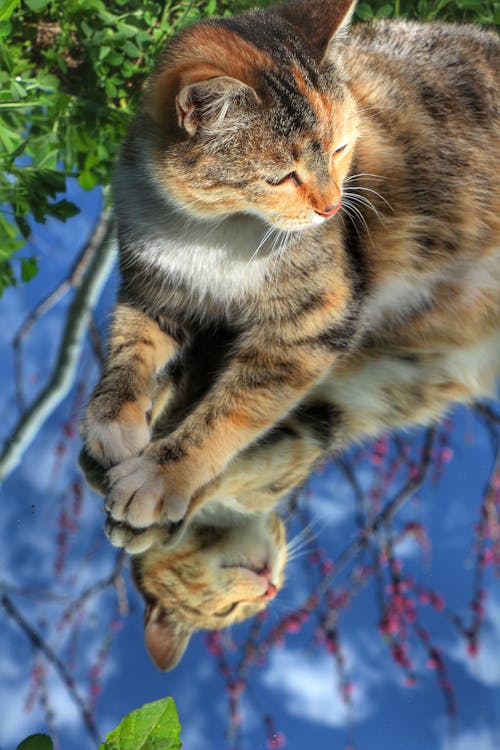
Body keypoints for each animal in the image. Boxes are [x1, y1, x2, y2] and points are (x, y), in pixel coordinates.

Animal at [80, 0, 498, 672]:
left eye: (344, 146)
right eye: (282, 176)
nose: (331, 208)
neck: (212, 236)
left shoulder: (315, 320)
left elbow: (233, 414)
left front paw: (162, 475)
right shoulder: (152, 282)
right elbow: (131, 344)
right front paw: (113, 421)